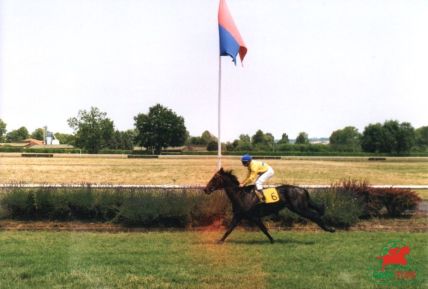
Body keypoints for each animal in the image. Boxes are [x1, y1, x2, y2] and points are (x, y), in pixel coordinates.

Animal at [202, 168, 336, 242]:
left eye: (214, 179)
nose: (205, 189)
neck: (241, 195)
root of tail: (302, 189)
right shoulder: (239, 216)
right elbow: (229, 229)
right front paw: (220, 240)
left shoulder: (254, 217)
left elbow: (264, 229)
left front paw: (272, 240)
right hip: (300, 206)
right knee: (317, 212)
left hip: (299, 208)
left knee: (315, 216)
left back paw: (330, 229)